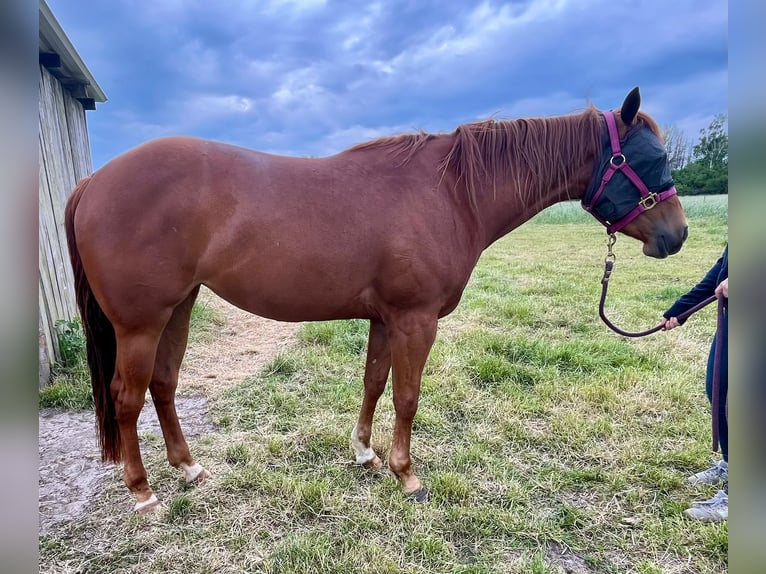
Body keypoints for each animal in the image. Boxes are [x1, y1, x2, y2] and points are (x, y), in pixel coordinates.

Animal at [66, 86, 688, 512]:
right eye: (648, 160)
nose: (676, 236)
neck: (450, 193)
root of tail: (94, 182)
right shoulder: (416, 320)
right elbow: (407, 397)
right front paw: (407, 475)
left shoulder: (386, 318)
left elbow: (374, 382)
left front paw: (365, 454)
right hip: (141, 323)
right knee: (126, 398)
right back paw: (143, 493)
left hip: (179, 306)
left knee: (163, 385)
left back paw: (189, 469)